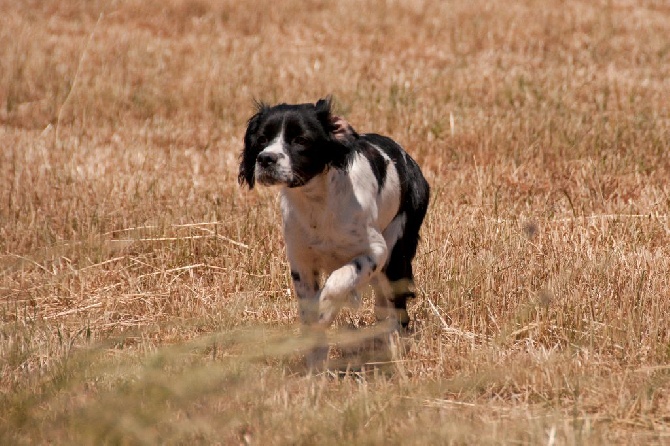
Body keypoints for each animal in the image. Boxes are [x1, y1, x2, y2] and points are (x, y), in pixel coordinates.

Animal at [239, 98, 434, 370]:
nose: (266, 159)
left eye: (301, 139)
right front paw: (314, 363)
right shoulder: (301, 261)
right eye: (261, 139)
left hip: (396, 256)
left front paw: (323, 312)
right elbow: (308, 307)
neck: (318, 203)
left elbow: (337, 281)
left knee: (396, 308)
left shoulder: (376, 251)